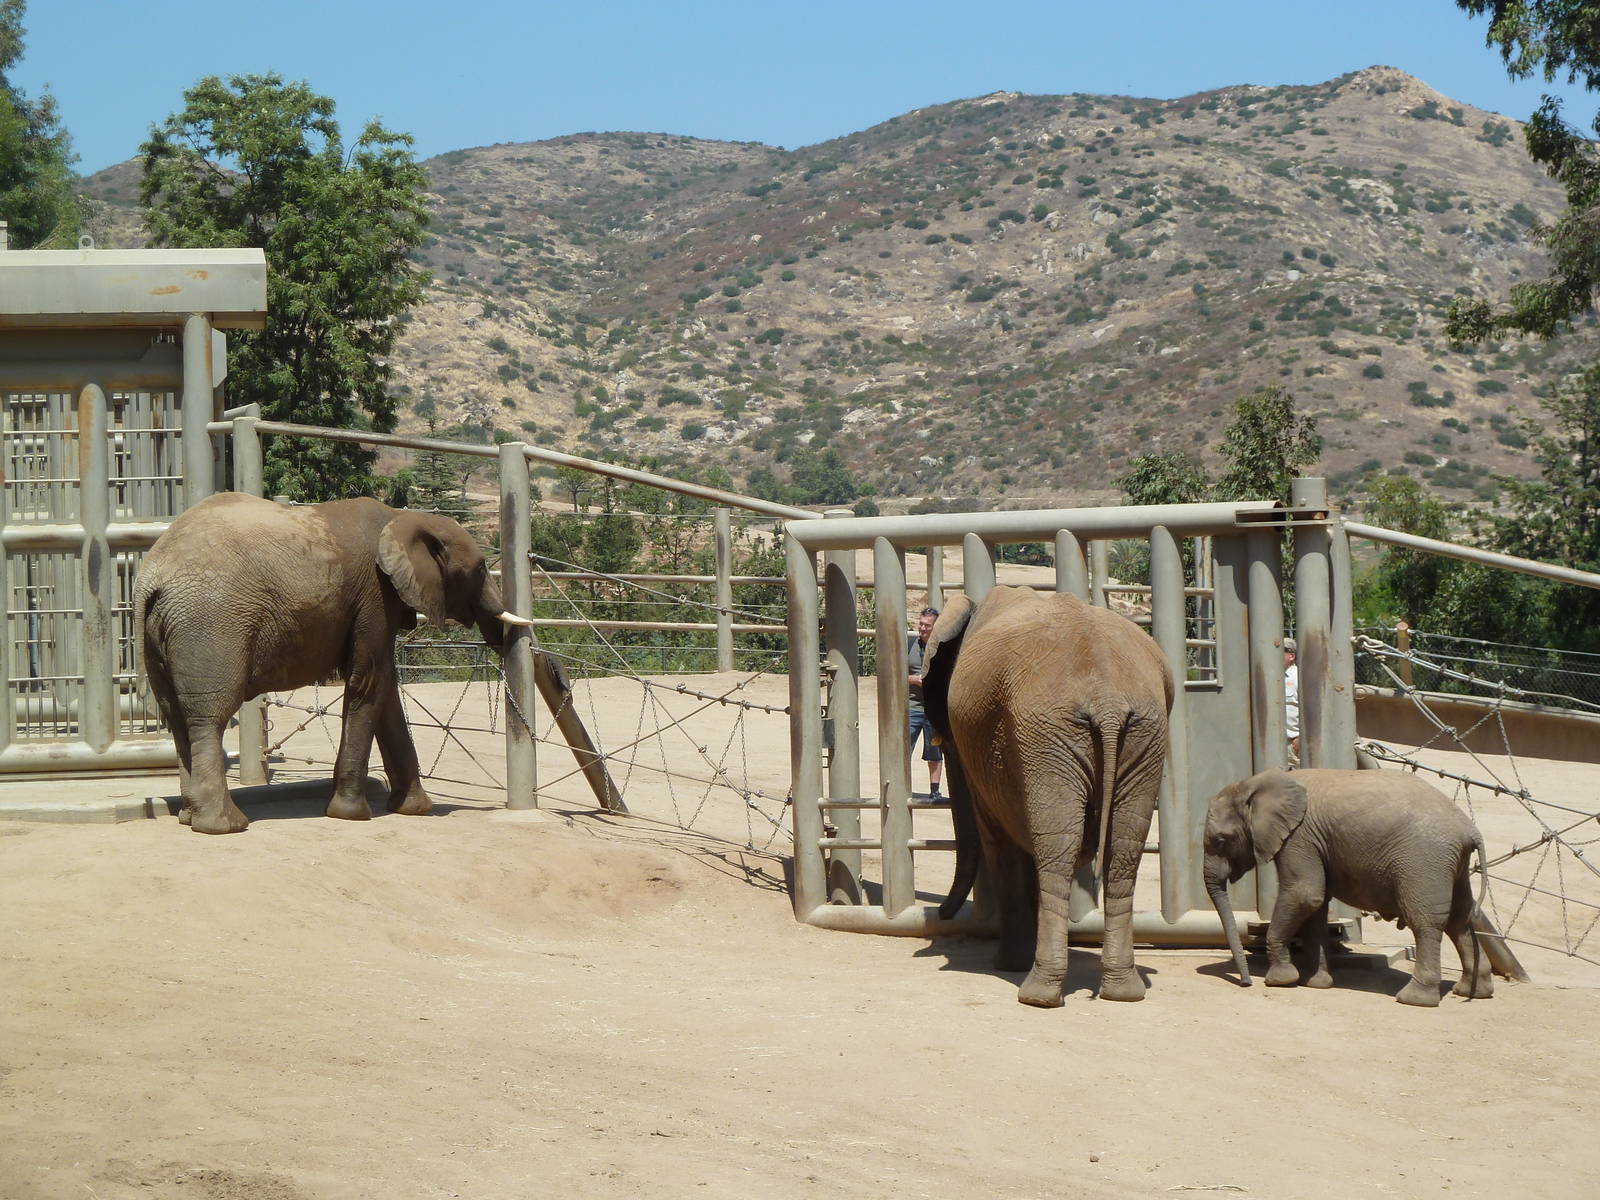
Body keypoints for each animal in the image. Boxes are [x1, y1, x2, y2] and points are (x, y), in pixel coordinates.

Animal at [135, 492, 532, 834]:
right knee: (208, 717)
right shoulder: (375, 593)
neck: (401, 517)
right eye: (480, 570)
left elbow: (385, 688)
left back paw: (189, 817)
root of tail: (151, 577)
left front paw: (415, 808)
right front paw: (352, 815)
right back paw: (224, 826)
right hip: (211, 625)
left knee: (176, 717)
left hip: (162, 634)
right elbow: (368, 681)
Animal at [923, 585, 1173, 1007]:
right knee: (1122, 852)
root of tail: (1107, 700)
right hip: (1140, 732)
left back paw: (1038, 994)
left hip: (1051, 734)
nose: (941, 914)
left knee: (1057, 848)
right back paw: (1123, 992)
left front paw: (1007, 964)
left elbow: (999, 840)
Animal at [1203, 768, 1494, 1007]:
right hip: (1450, 863)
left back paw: (1414, 999)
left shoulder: (1299, 837)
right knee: (1460, 917)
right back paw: (1472, 992)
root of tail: (1470, 831)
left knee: (1426, 922)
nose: (1246, 982)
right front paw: (1316, 983)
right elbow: (1316, 906)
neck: (1253, 783)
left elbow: (1305, 894)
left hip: (1424, 861)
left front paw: (1280, 981)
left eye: (1220, 840)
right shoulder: (1313, 842)